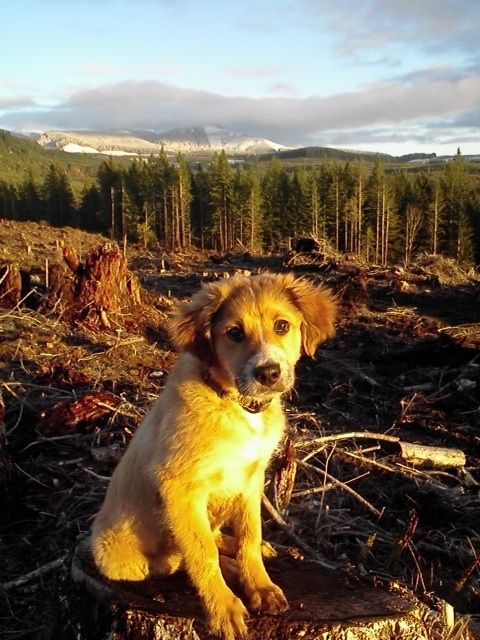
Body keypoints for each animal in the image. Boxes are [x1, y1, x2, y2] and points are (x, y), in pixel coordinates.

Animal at [91, 272, 338, 636]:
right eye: (234, 333)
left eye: (282, 325)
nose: (268, 373)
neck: (236, 405)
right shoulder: (179, 488)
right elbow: (201, 552)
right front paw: (223, 608)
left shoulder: (252, 479)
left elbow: (250, 534)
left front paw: (259, 585)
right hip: (123, 558)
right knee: (184, 556)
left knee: (221, 537)